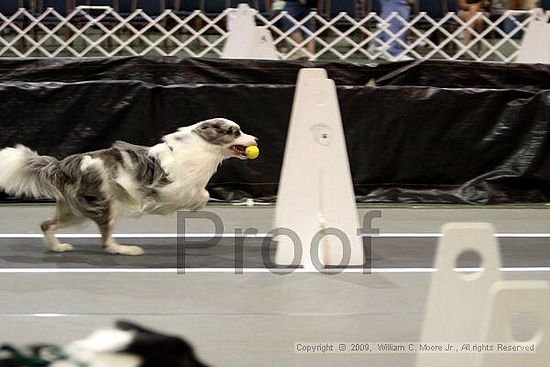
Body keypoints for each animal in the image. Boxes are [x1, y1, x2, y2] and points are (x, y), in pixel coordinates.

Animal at [0, 118, 258, 256]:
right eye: (235, 132)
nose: (256, 139)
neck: (203, 149)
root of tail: (64, 165)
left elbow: (201, 193)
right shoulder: (169, 187)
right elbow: (198, 193)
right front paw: (193, 205)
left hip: (75, 213)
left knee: (46, 224)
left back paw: (58, 247)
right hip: (105, 205)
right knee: (106, 241)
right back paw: (125, 249)